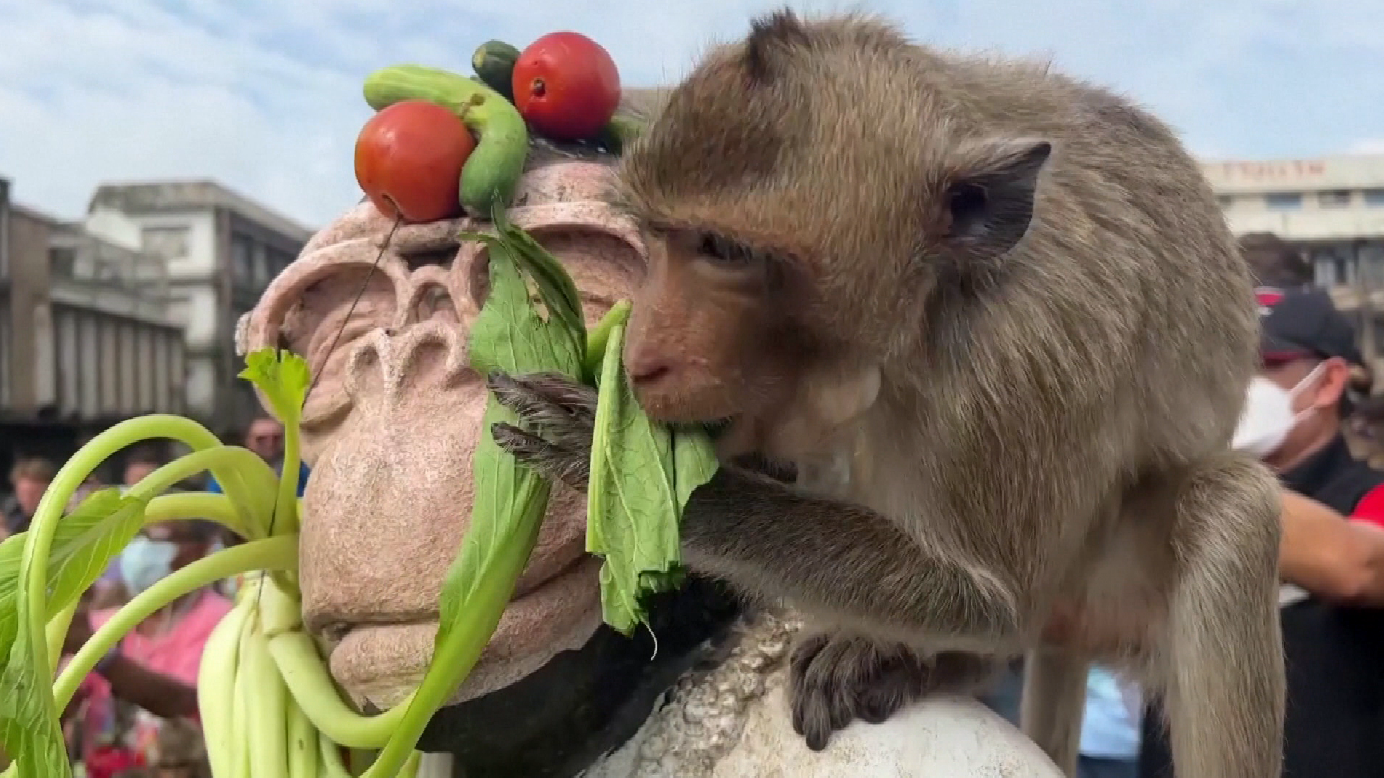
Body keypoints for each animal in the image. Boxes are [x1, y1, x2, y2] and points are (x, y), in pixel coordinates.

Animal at [484, 7, 1284, 775]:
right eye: (657, 236)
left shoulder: (1024, 351)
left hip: (1106, 598)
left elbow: (989, 601)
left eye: (724, 250)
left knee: (1227, 512)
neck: (930, 303)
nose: (643, 359)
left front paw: (638, 475)